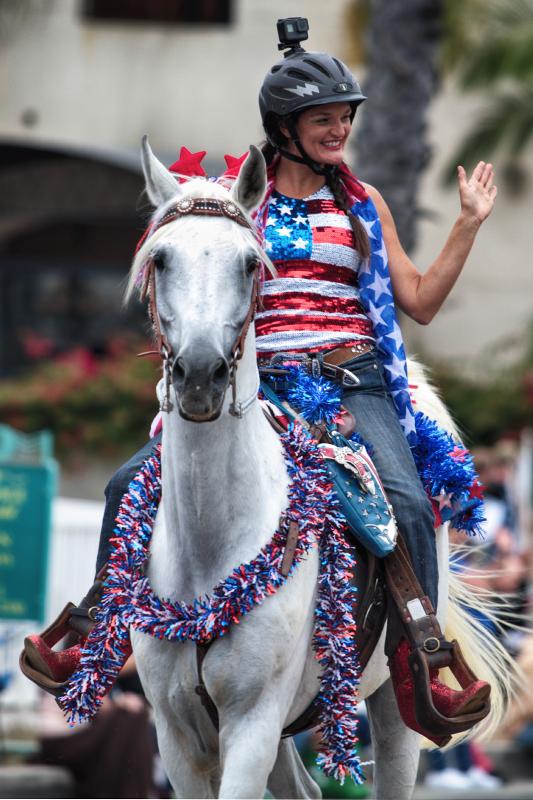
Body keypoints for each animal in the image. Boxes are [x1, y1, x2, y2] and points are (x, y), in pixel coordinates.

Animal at [128, 141, 512, 796]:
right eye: (161, 259)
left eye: (249, 265)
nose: (200, 376)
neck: (212, 549)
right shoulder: (179, 737)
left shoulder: (253, 724)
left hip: (390, 705)